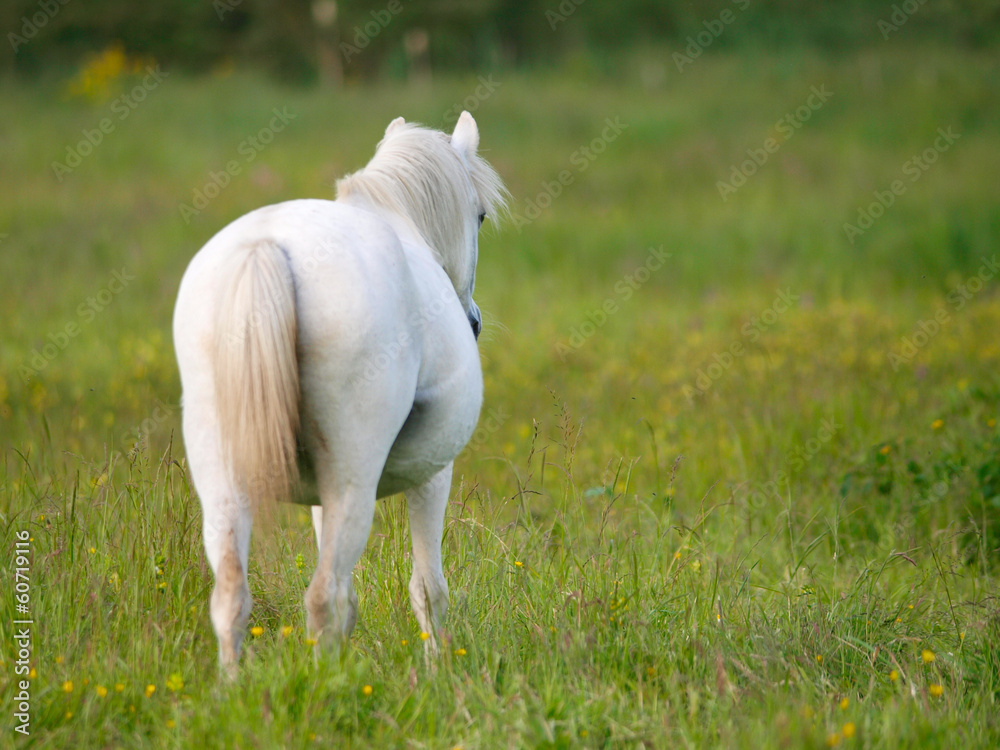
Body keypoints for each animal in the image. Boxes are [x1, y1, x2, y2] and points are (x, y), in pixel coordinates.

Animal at [173, 111, 507, 673]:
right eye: (479, 216)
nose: (474, 322)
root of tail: (268, 247)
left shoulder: (318, 498)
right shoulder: (433, 473)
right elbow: (428, 588)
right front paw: (437, 670)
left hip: (221, 477)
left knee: (233, 596)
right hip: (354, 478)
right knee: (322, 596)